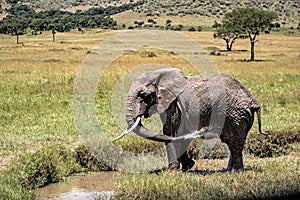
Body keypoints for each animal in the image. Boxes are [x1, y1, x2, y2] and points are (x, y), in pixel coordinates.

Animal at [113, 68, 268, 171]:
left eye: (144, 95)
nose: (204, 129)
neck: (159, 74)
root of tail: (253, 100)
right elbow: (180, 133)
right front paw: (188, 167)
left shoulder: (172, 104)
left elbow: (169, 131)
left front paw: (173, 171)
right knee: (233, 143)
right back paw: (228, 170)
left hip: (235, 114)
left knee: (234, 143)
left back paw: (236, 171)